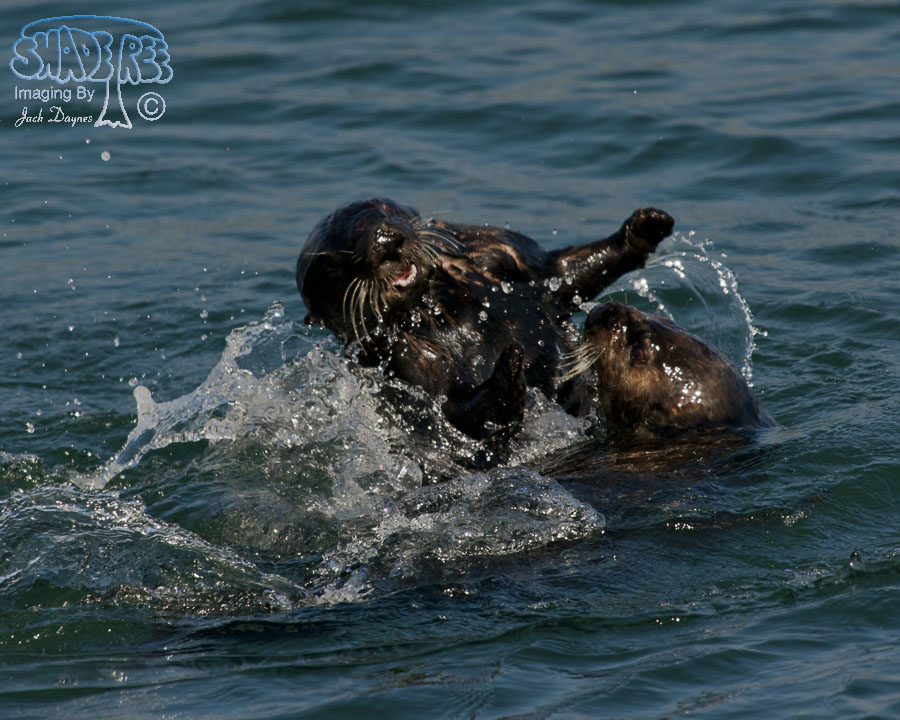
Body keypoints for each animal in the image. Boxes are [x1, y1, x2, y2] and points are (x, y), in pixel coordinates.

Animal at [296, 198, 674, 441]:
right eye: (334, 262)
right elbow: (458, 413)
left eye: (383, 211)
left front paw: (646, 226)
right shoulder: (404, 363)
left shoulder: (498, 252)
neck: (433, 304)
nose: (384, 240)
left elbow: (566, 272)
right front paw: (509, 367)